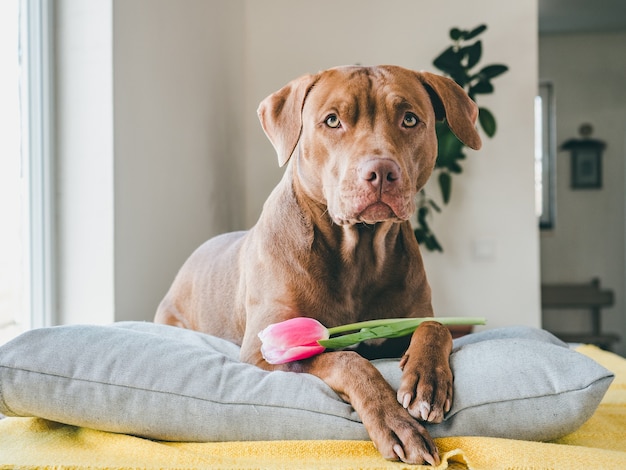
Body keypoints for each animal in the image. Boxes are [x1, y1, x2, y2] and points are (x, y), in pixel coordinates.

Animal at [154, 66, 480, 466]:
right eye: (333, 121)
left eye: (409, 119)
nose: (381, 171)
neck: (359, 254)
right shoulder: (266, 353)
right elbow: (348, 360)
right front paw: (396, 424)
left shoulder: (405, 320)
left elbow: (436, 327)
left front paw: (427, 381)